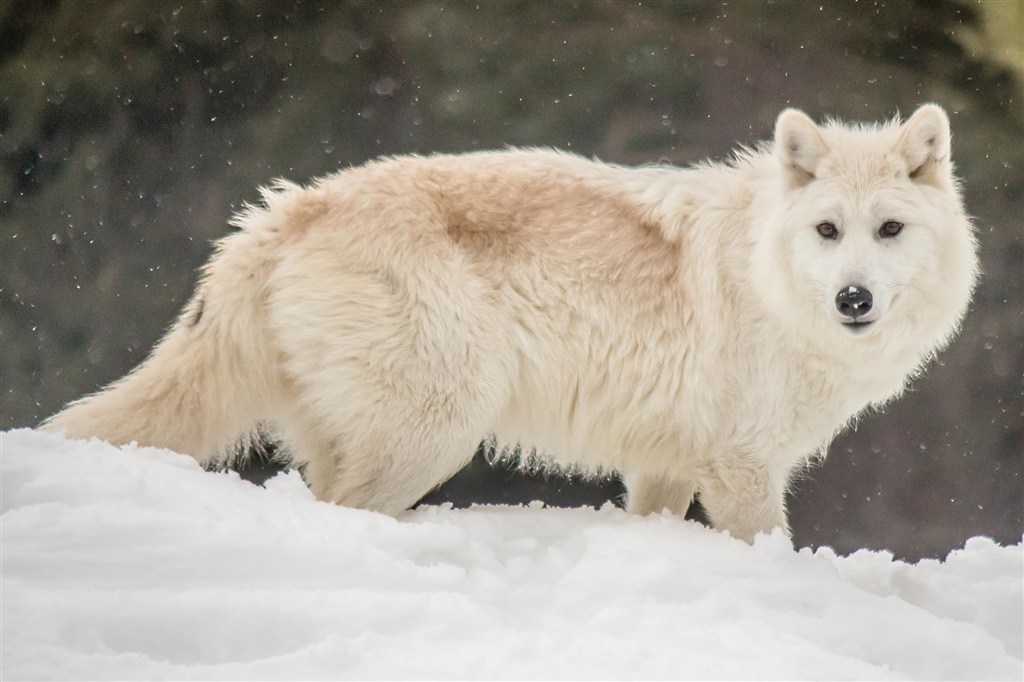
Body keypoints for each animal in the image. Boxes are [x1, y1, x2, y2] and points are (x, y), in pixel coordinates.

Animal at [46, 104, 974, 540]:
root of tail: (283, 213)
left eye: (890, 230)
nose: (853, 300)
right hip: (439, 431)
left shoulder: (666, 466)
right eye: (828, 231)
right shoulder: (741, 470)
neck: (768, 279)